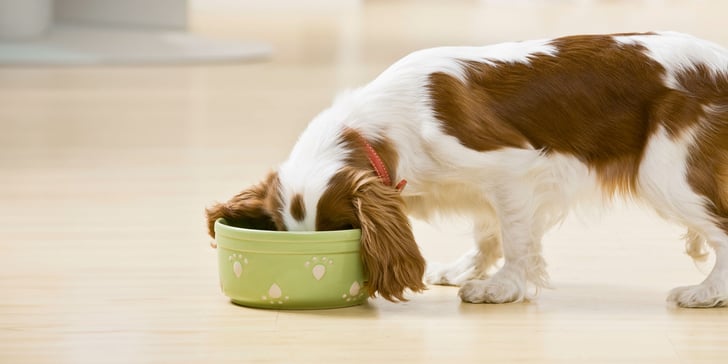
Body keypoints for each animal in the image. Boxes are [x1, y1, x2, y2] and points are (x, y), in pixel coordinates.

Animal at [206, 32, 728, 308]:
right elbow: (488, 232)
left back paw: (705, 293)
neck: (382, 127)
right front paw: (464, 270)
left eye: (340, 231)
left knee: (721, 231)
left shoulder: (512, 170)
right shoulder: (483, 190)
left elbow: (515, 240)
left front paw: (500, 288)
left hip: (667, 175)